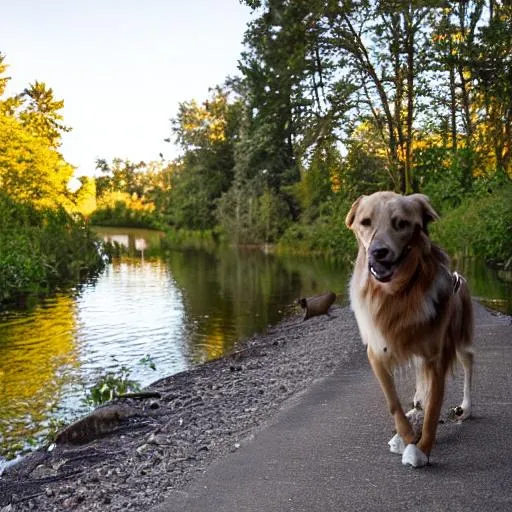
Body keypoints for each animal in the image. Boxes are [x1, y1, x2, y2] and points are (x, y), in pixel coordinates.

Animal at [346, 192, 474, 468]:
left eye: (401, 224)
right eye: (365, 222)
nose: (378, 252)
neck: (397, 295)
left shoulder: (436, 357)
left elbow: (434, 407)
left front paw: (422, 449)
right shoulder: (377, 351)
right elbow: (393, 402)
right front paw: (405, 436)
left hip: (461, 338)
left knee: (468, 366)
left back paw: (465, 408)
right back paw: (415, 408)